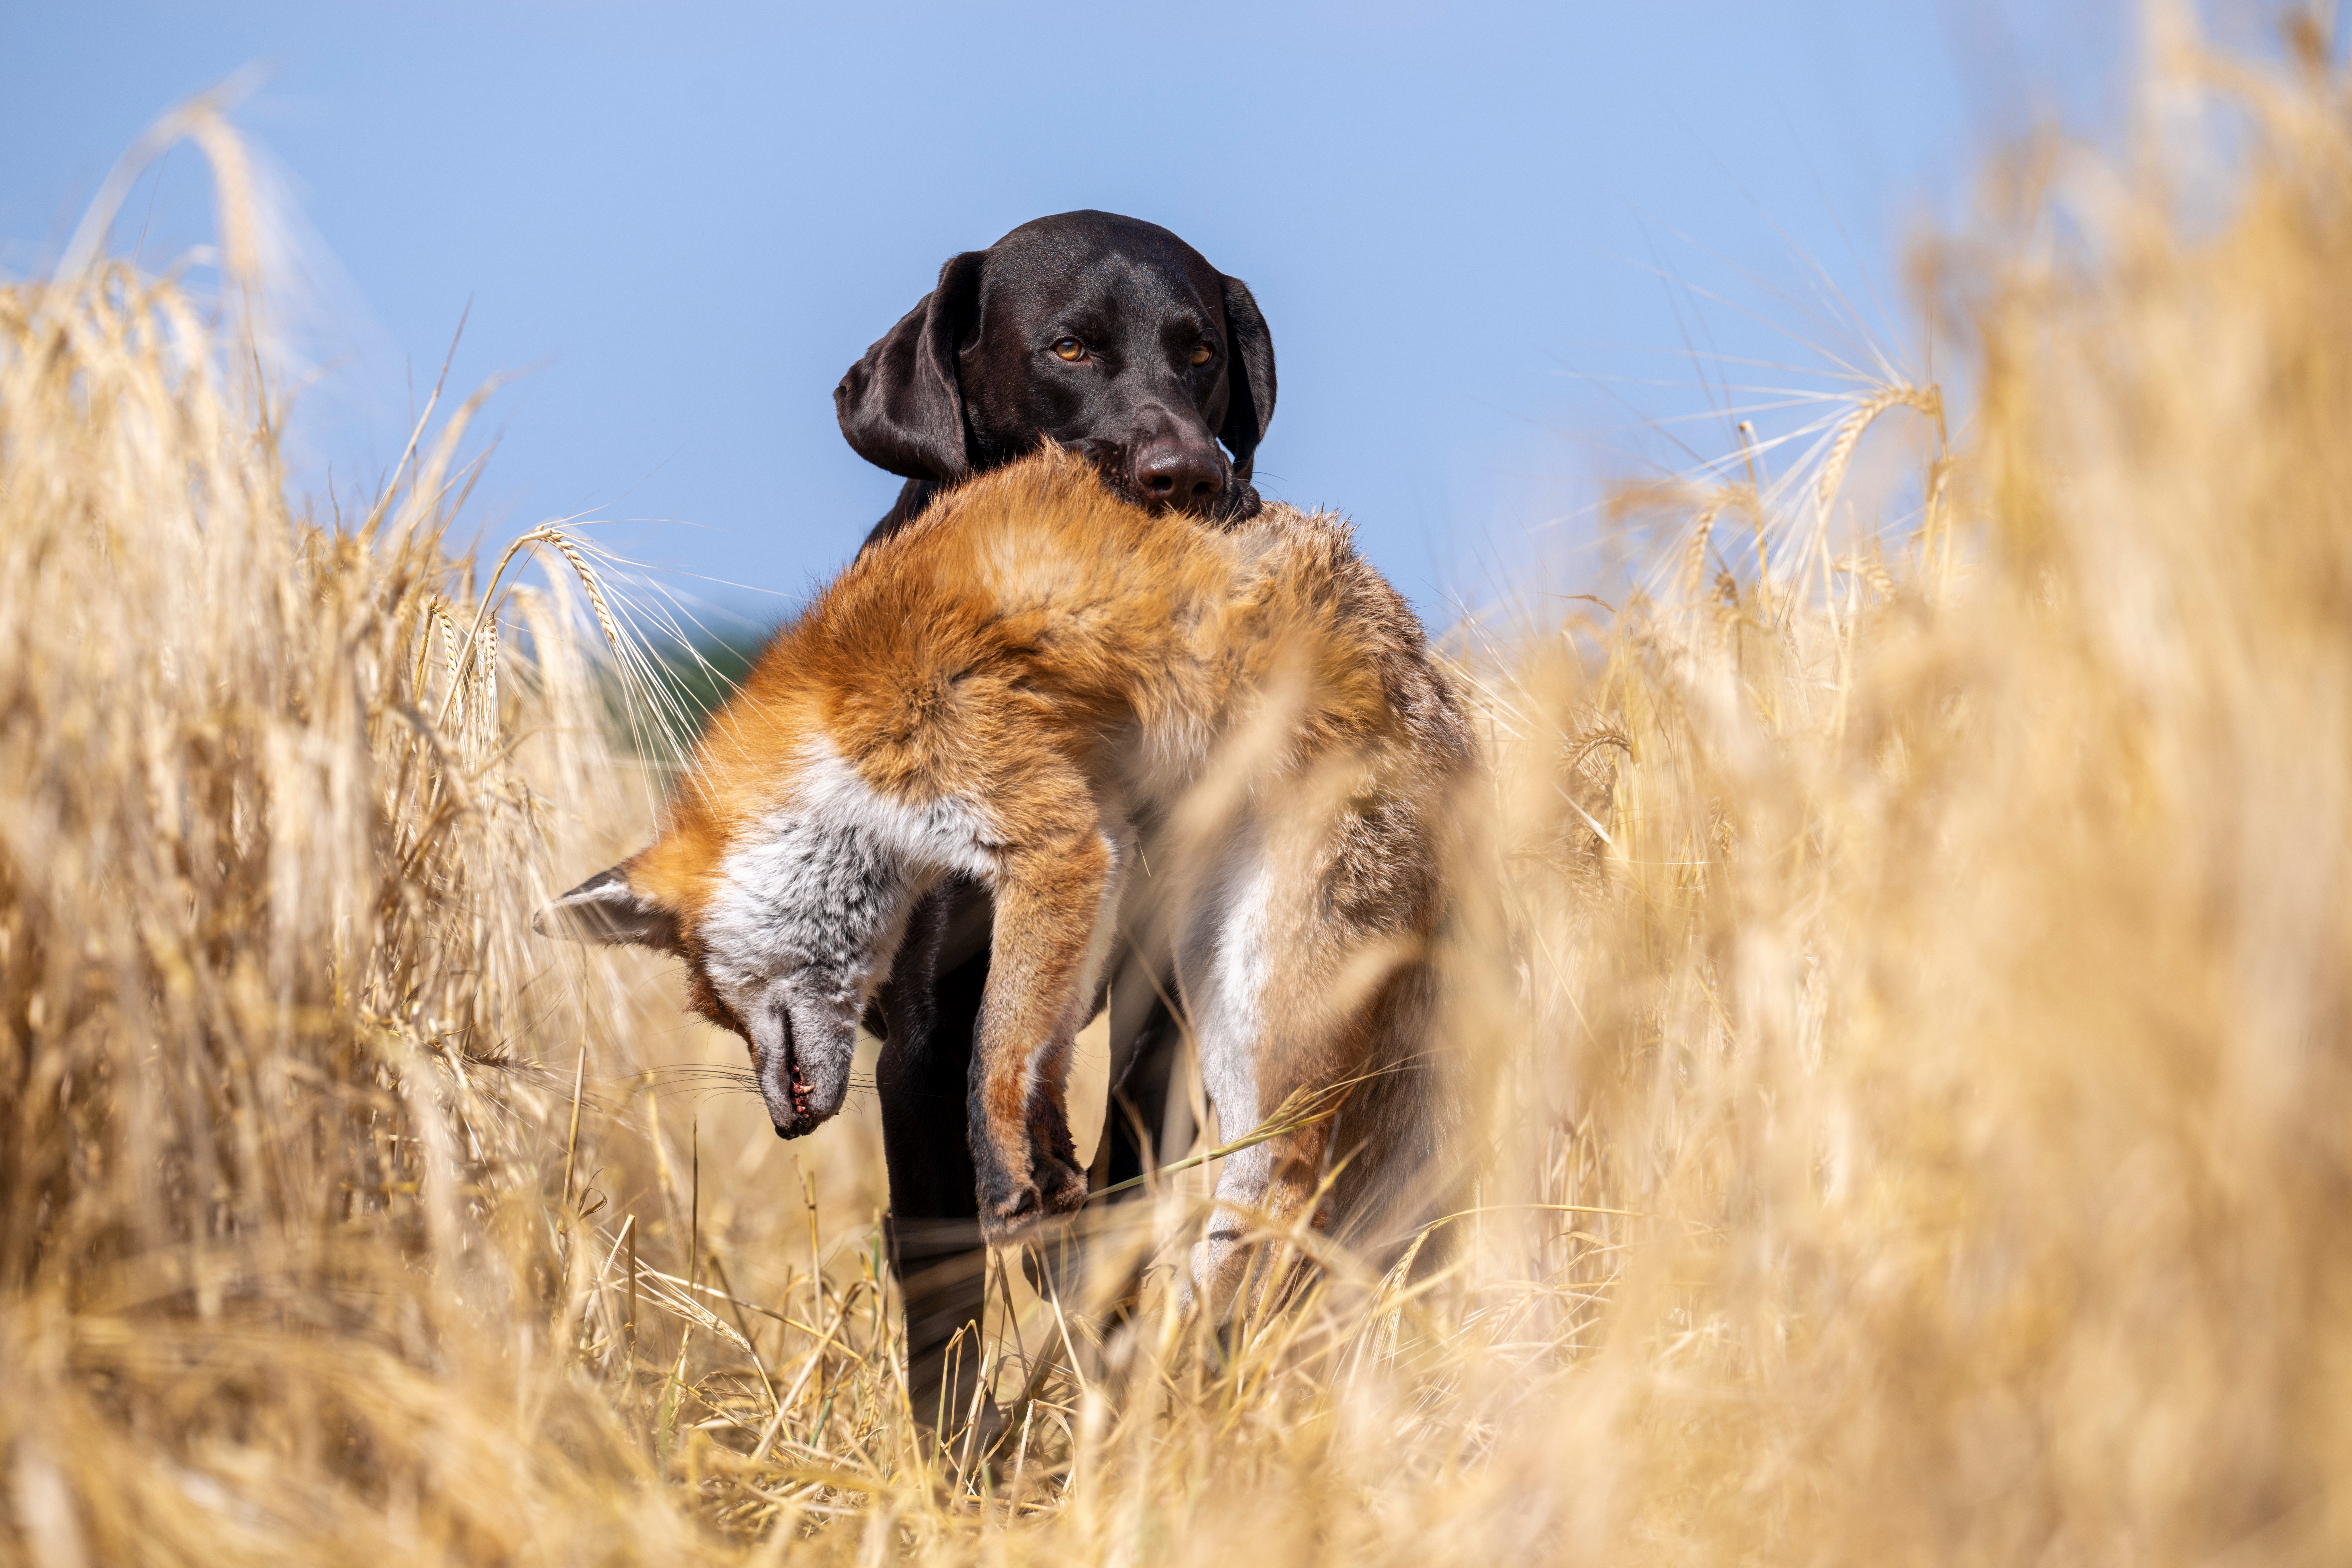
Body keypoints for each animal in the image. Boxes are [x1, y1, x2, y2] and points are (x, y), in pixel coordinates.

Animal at [536, 445, 1474, 1308]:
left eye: (714, 1005)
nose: (784, 1125)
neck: (831, 725)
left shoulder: (1041, 828)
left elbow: (993, 1040)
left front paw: (1000, 1174)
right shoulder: (1102, 837)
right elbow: (1041, 1042)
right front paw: (1047, 1155)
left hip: (1259, 992)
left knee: (1289, 1176)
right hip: (1207, 950)